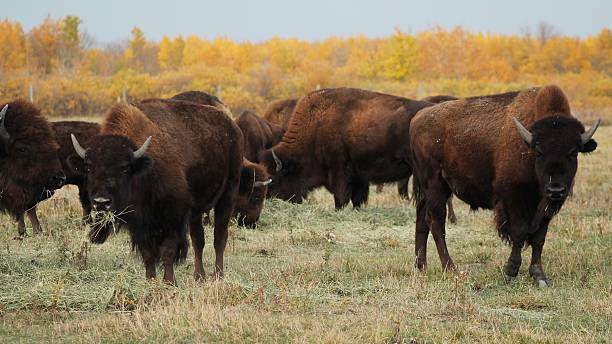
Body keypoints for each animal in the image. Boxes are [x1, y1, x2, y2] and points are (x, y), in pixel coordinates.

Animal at [70, 98, 244, 284]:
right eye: (89, 167)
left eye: (124, 168)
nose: (101, 202)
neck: (144, 168)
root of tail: (233, 127)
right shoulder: (140, 223)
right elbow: (148, 253)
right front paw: (151, 279)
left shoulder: (174, 217)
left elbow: (167, 250)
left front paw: (169, 281)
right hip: (196, 211)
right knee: (199, 239)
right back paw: (199, 276)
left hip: (228, 195)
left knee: (220, 237)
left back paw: (218, 275)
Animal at [260, 87, 436, 208]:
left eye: (274, 179)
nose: (268, 200)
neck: (316, 125)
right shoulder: (359, 177)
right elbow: (356, 199)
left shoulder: (339, 171)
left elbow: (340, 198)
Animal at [408, 84, 600, 286]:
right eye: (539, 151)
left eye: (573, 152)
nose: (555, 189)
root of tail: (417, 118)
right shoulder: (513, 199)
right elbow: (520, 233)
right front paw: (510, 272)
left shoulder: (547, 207)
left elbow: (539, 239)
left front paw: (539, 276)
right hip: (435, 185)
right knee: (436, 222)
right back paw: (451, 269)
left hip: (429, 190)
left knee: (422, 220)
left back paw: (421, 267)